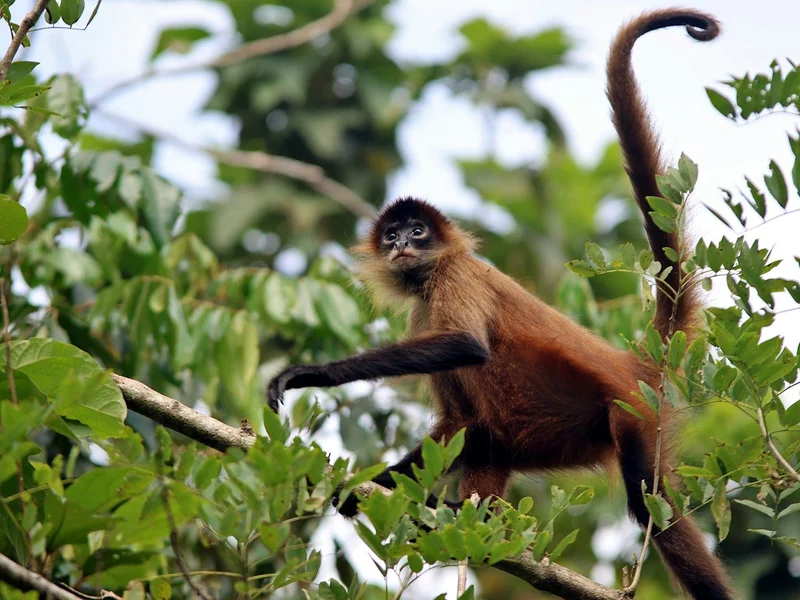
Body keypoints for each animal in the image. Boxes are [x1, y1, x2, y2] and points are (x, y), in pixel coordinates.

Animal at [267, 8, 733, 600]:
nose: (400, 246)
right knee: (485, 432)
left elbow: (466, 345)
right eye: (392, 234)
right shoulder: (423, 307)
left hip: (630, 414)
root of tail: (634, 363)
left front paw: (309, 374)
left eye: (418, 232)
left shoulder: (454, 276)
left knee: (652, 506)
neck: (431, 274)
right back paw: (471, 520)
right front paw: (355, 488)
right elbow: (457, 422)